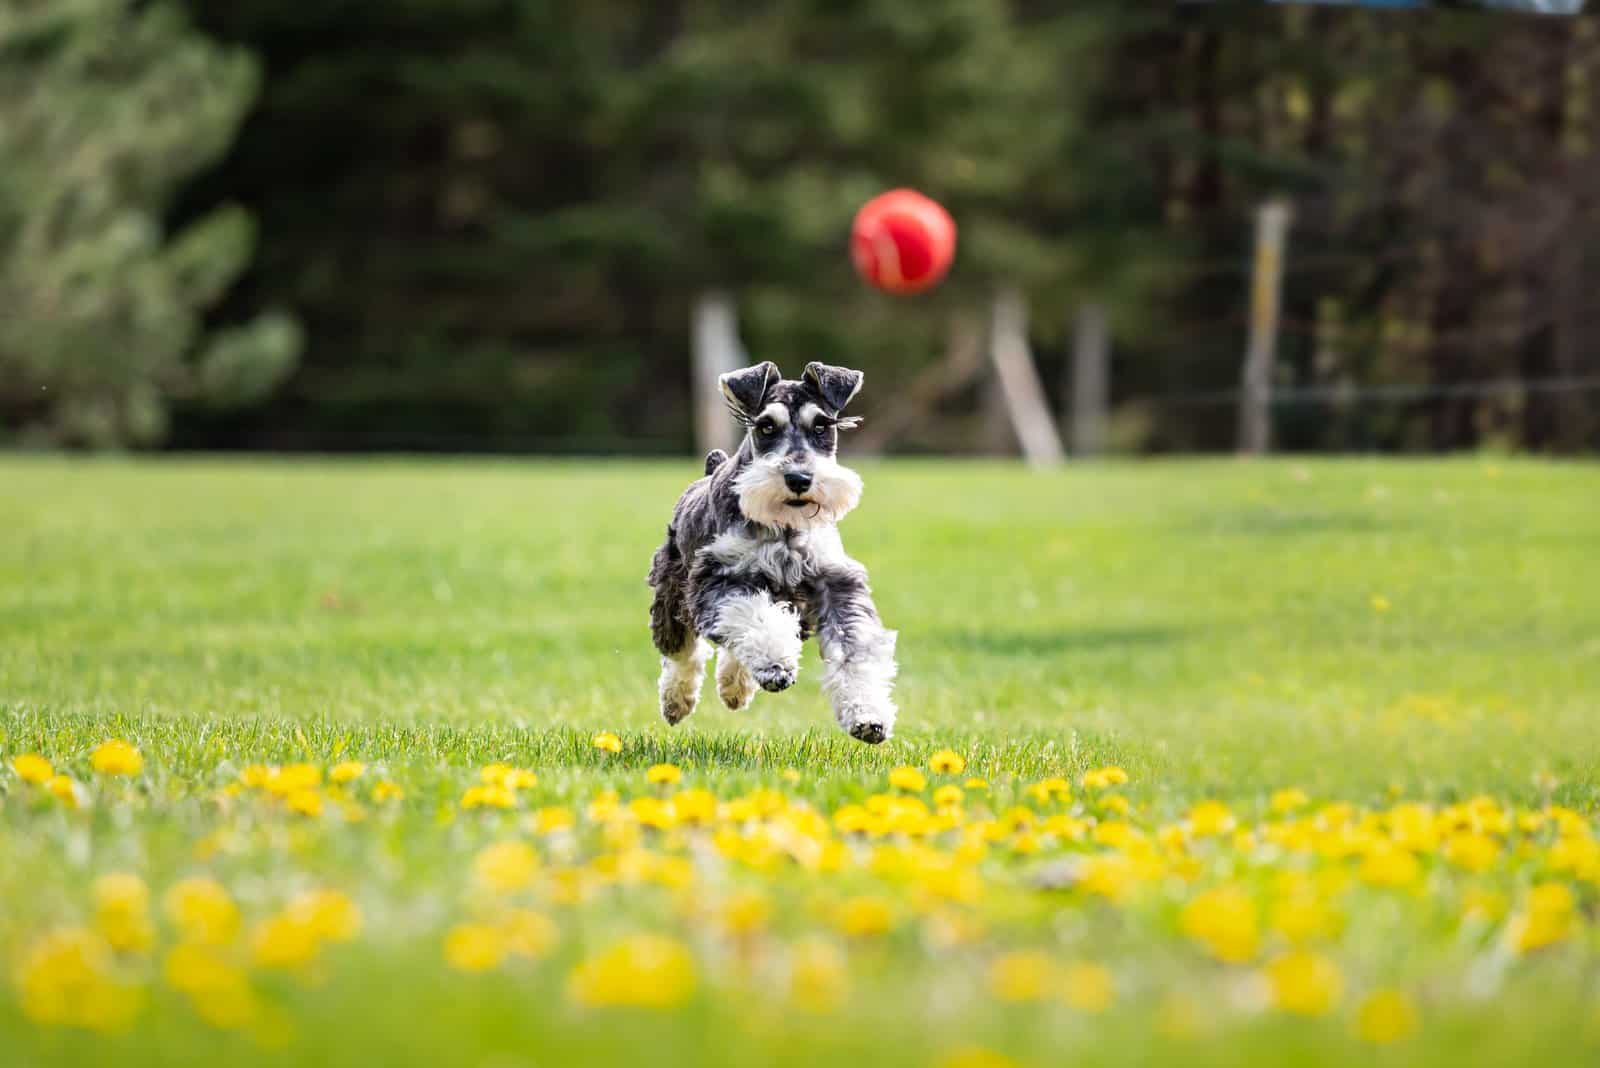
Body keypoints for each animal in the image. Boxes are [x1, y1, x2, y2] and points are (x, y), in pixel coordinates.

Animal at [649, 358, 902, 741]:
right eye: (766, 426)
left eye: (821, 426)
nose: (798, 478)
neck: (784, 525)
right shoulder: (719, 578)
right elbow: (752, 615)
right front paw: (775, 662)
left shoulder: (836, 583)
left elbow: (855, 648)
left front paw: (868, 714)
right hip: (673, 588)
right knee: (682, 649)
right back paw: (677, 699)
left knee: (733, 647)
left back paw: (735, 687)